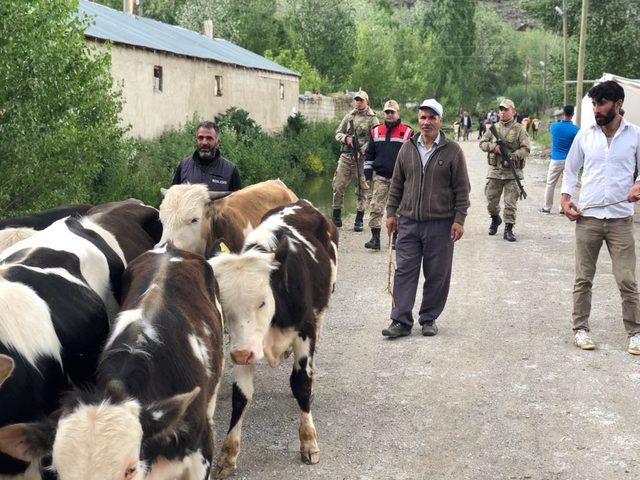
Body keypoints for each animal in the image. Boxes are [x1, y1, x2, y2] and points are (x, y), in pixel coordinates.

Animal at [210, 199, 340, 476]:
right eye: (224, 307)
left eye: (262, 302)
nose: (241, 354)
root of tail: (301, 203)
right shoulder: (242, 343)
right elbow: (241, 396)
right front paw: (228, 455)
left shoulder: (305, 331)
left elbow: (301, 383)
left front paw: (308, 441)